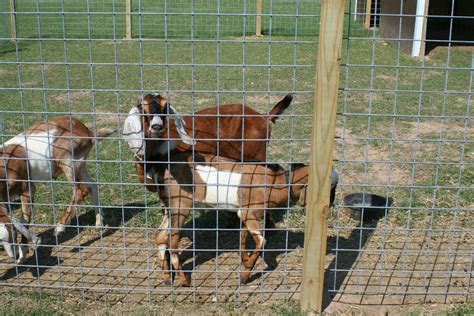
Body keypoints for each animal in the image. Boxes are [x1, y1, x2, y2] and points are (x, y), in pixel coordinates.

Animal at [155, 152, 336, 288]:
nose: (330, 205)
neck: (274, 182)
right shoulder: (250, 213)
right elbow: (262, 241)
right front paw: (245, 275)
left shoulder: (244, 213)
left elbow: (243, 235)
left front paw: (245, 259)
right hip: (180, 206)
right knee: (171, 240)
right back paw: (184, 280)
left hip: (170, 208)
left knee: (160, 237)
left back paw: (167, 278)